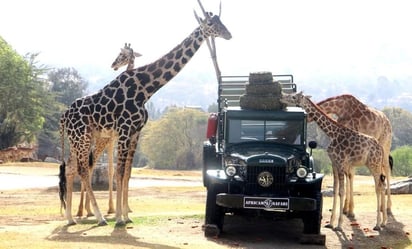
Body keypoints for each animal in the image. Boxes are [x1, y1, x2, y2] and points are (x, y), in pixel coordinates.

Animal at [75, 42, 142, 216]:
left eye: (123, 55)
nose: (114, 65)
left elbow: (123, 171)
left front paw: (125, 208)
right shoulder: (113, 139)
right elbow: (112, 170)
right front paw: (113, 208)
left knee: (89, 165)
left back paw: (87, 209)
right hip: (97, 141)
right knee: (89, 165)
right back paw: (83, 210)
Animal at [280, 92, 390, 231]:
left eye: (294, 97)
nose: (282, 96)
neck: (332, 133)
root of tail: (379, 148)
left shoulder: (341, 162)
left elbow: (341, 191)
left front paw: (339, 225)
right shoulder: (334, 163)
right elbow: (335, 190)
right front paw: (331, 223)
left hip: (374, 164)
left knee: (379, 186)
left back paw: (378, 224)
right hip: (376, 164)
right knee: (382, 184)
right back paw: (383, 222)